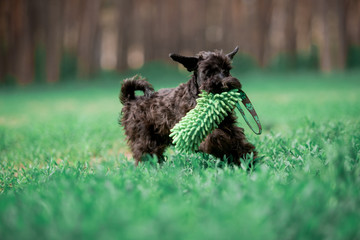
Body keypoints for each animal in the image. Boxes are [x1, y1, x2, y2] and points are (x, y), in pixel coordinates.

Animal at [120, 46, 256, 165]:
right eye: (208, 72)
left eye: (227, 70)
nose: (226, 84)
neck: (197, 97)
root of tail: (131, 99)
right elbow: (216, 136)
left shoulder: (229, 125)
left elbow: (237, 139)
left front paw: (247, 159)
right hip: (144, 138)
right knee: (144, 154)